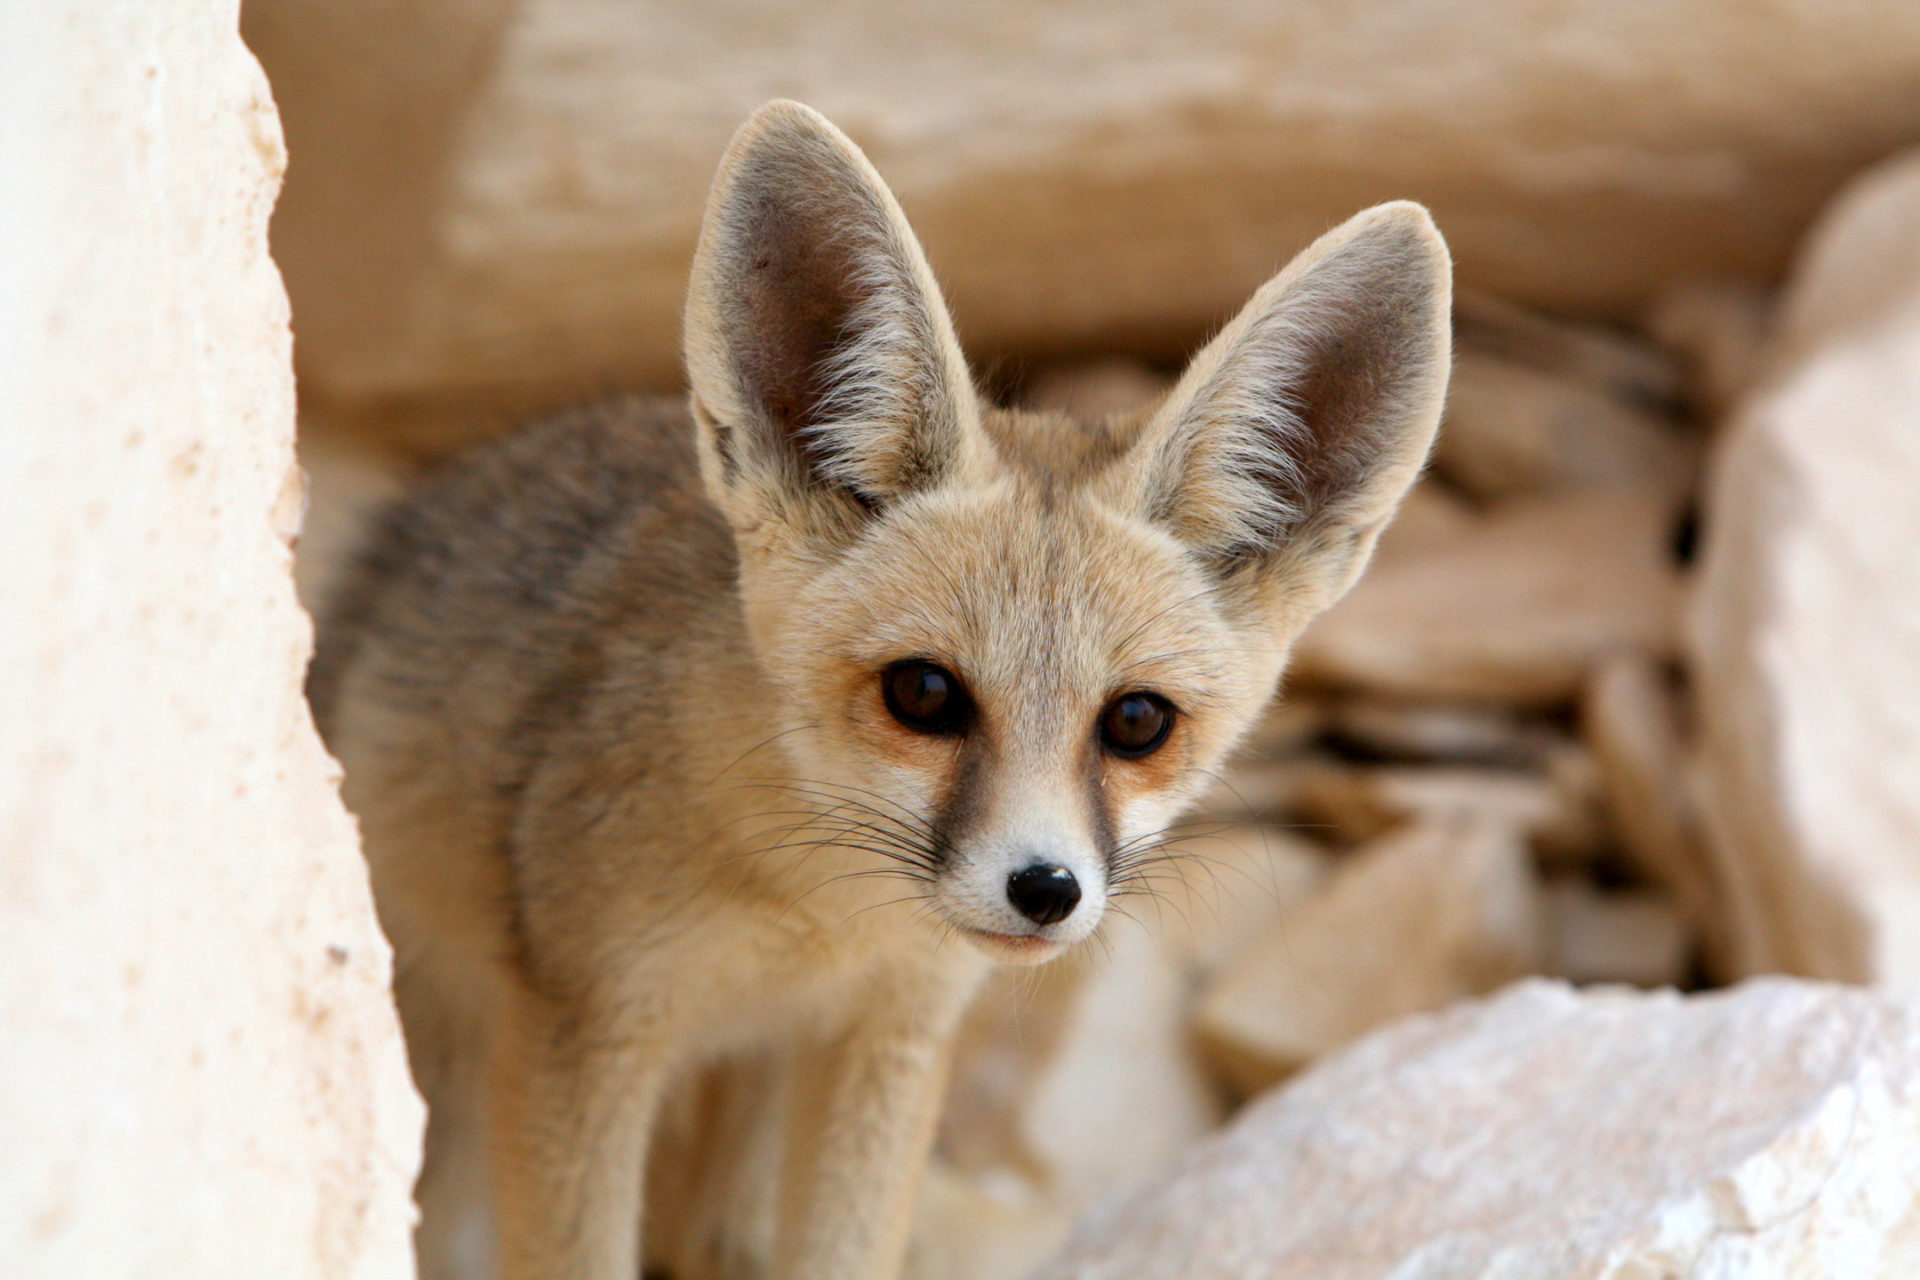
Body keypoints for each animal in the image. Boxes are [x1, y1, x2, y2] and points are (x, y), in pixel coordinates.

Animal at [311, 102, 1451, 1280]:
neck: (812, 925)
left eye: (1138, 721)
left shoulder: (891, 1031)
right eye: (924, 694)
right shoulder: (587, 1030)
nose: (1045, 889)